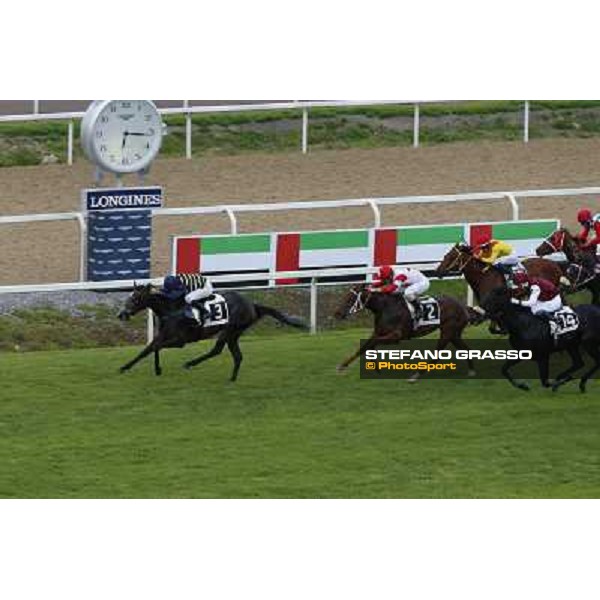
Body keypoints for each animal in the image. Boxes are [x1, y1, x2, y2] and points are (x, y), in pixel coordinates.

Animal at [116, 282, 308, 380]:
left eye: (136, 298)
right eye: (129, 296)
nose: (121, 314)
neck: (171, 309)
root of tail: (252, 305)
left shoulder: (180, 341)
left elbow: (155, 347)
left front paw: (156, 369)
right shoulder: (164, 335)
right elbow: (148, 349)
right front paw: (126, 367)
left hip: (229, 330)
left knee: (217, 350)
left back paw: (190, 363)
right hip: (233, 334)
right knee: (237, 356)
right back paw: (232, 379)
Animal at [332, 284, 478, 380]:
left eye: (350, 298)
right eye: (345, 296)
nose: (337, 313)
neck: (385, 307)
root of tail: (463, 307)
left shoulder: (397, 336)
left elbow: (372, 343)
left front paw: (376, 366)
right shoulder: (378, 332)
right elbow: (363, 347)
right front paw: (343, 366)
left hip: (448, 331)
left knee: (436, 354)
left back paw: (417, 375)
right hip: (454, 334)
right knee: (466, 349)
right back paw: (471, 370)